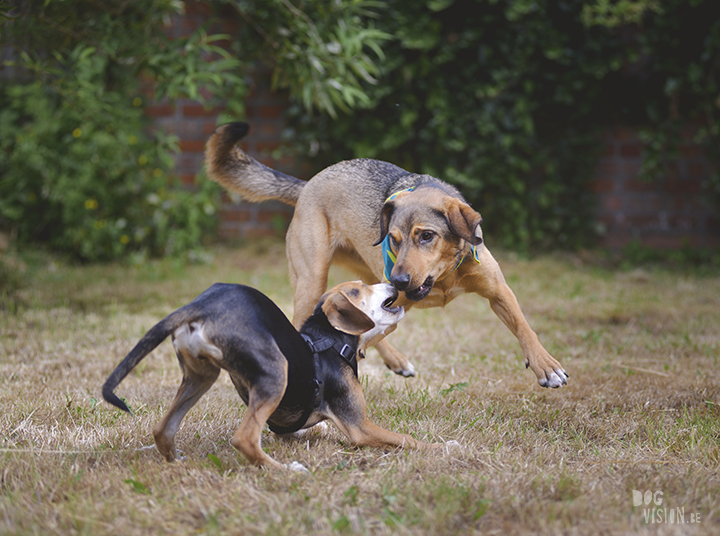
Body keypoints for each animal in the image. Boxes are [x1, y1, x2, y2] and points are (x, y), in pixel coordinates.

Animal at [204, 123, 568, 388]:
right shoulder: (394, 296)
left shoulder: (498, 291)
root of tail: (309, 183)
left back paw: (393, 359)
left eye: (427, 236)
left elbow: (524, 326)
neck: (445, 275)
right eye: (393, 239)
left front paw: (545, 365)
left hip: (369, 277)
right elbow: (373, 329)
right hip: (316, 277)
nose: (400, 280)